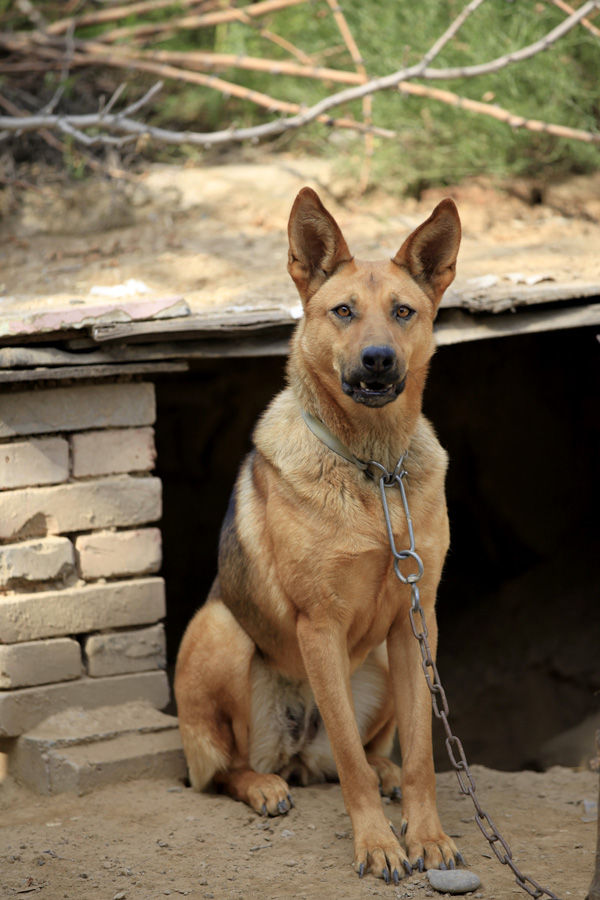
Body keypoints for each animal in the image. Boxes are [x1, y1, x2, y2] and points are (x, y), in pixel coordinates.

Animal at [176, 186, 462, 884]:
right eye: (343, 312)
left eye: (404, 312)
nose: (379, 360)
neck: (375, 469)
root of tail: (296, 752)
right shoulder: (319, 625)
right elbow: (350, 766)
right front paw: (378, 844)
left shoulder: (416, 621)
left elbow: (421, 753)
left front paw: (427, 836)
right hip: (221, 629)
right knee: (228, 768)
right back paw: (262, 786)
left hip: (382, 657)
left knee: (364, 753)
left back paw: (383, 773)